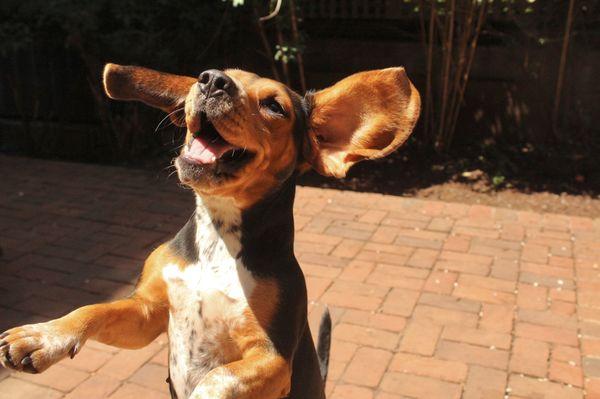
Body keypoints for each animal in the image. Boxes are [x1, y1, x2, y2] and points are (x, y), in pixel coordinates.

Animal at [1, 64, 422, 398]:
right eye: (216, 73)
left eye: (274, 106)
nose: (213, 81)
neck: (217, 242)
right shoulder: (147, 312)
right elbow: (92, 310)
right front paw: (44, 335)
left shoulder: (271, 357)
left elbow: (217, 380)